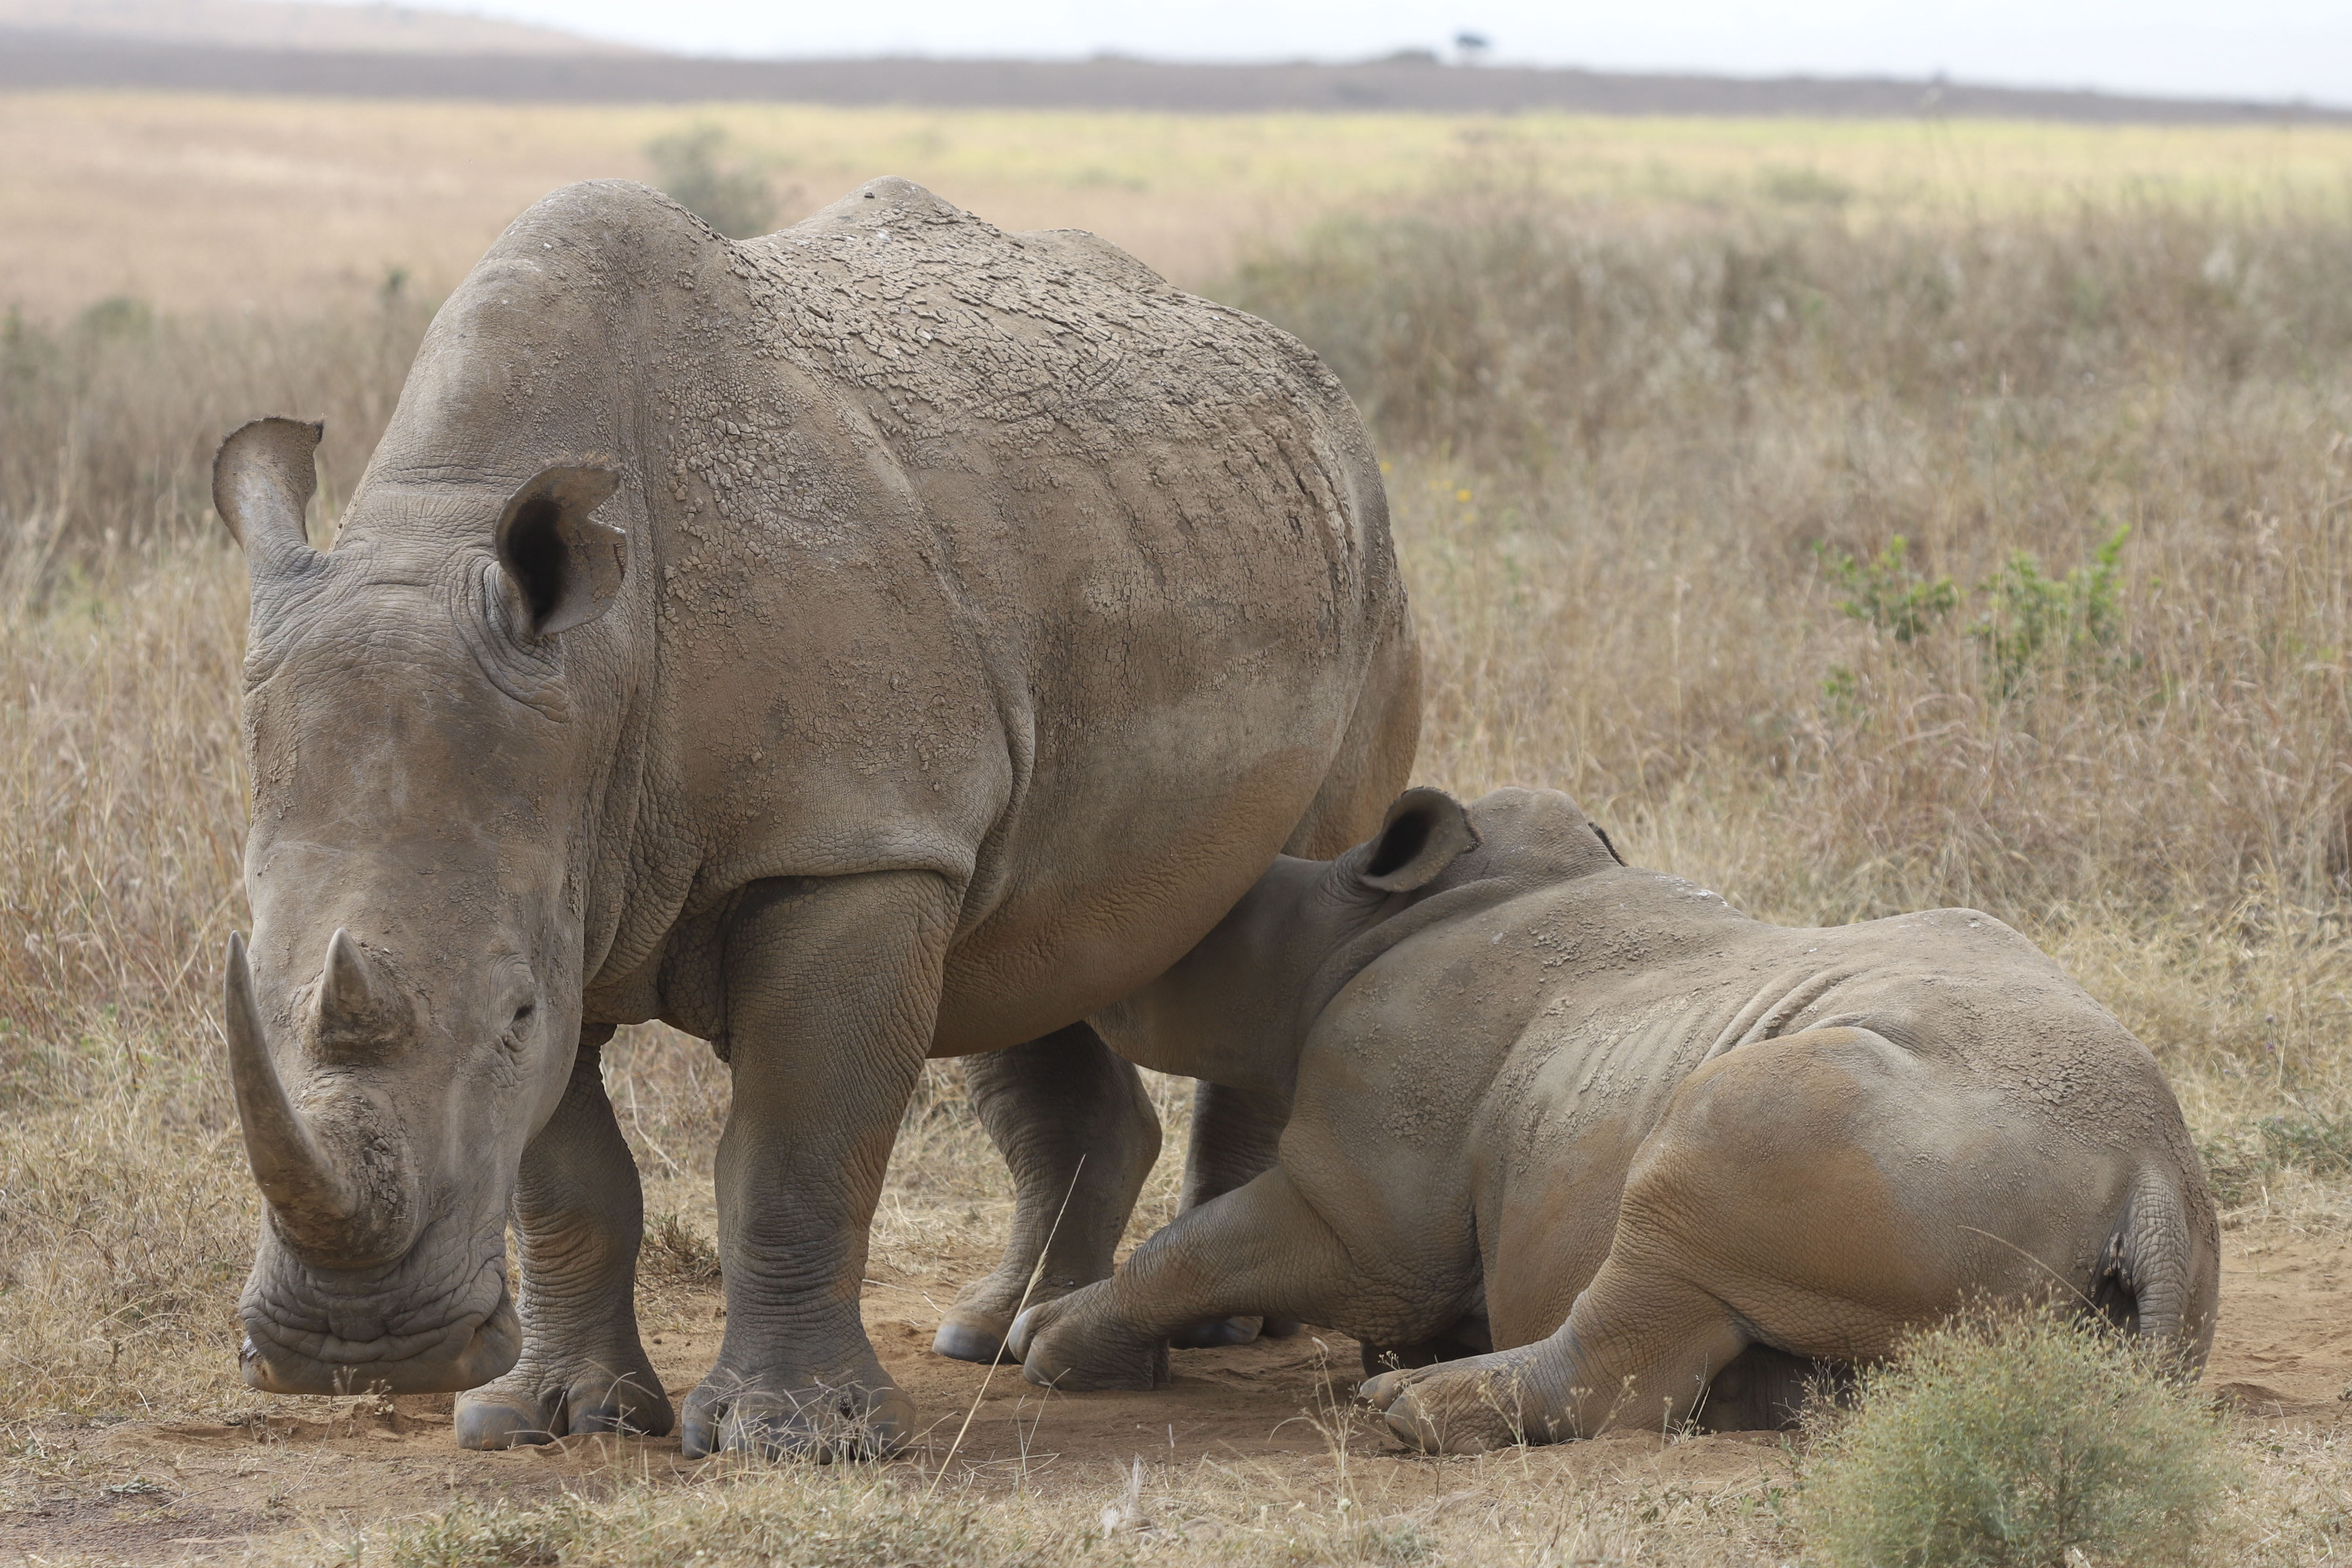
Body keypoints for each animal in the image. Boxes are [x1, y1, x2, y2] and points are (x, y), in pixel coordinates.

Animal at [211, 181, 1411, 1457]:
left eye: (512, 1015)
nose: (355, 1347)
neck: (595, 673)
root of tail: (1312, 380)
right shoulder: (561, 864)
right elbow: (567, 1177)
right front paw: (551, 1417)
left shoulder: (848, 847)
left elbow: (795, 1150)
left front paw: (797, 1438)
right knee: (1033, 940)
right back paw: (998, 1336)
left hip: (1368, 574)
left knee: (1280, 905)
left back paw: (1206, 1336)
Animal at [1016, 790, 2220, 1457]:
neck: (1326, 932)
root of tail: (2150, 1174)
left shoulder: (1367, 1215)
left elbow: (1202, 1250)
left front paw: (1049, 1349)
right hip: (1979, 1162)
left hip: (1890, 1134)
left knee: (1682, 1203)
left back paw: (1406, 1413)